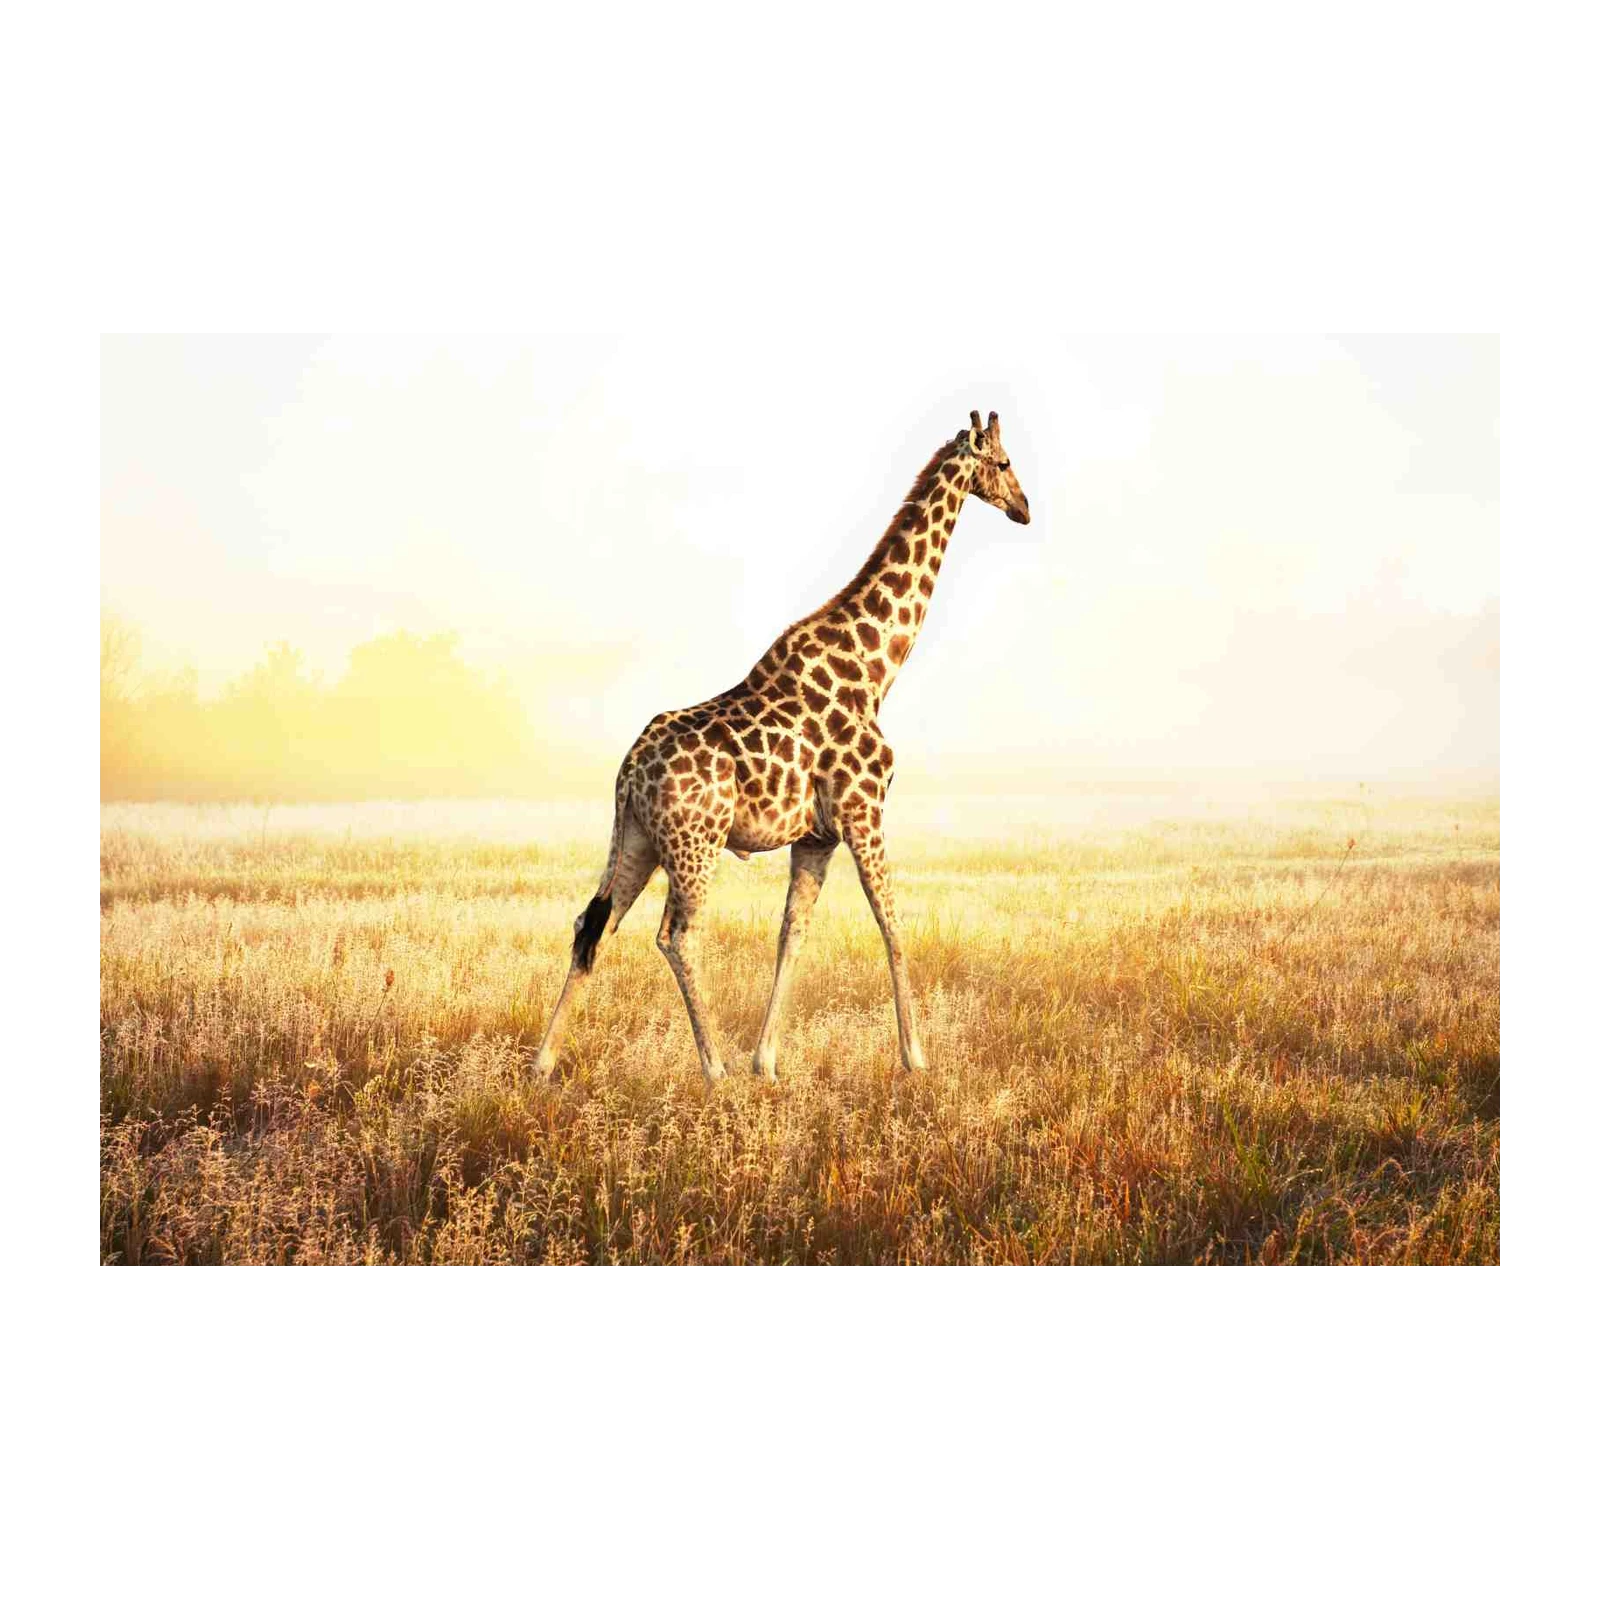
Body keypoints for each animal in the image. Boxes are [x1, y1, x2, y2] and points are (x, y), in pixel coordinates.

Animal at [533, 409, 1031, 1085]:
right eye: (1004, 463)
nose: (1024, 508)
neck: (875, 668)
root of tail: (627, 771)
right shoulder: (864, 812)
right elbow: (893, 924)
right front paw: (916, 1058)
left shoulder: (816, 835)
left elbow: (792, 934)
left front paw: (766, 1061)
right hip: (695, 844)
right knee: (676, 934)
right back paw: (712, 1068)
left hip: (637, 839)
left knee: (594, 923)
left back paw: (543, 1063)